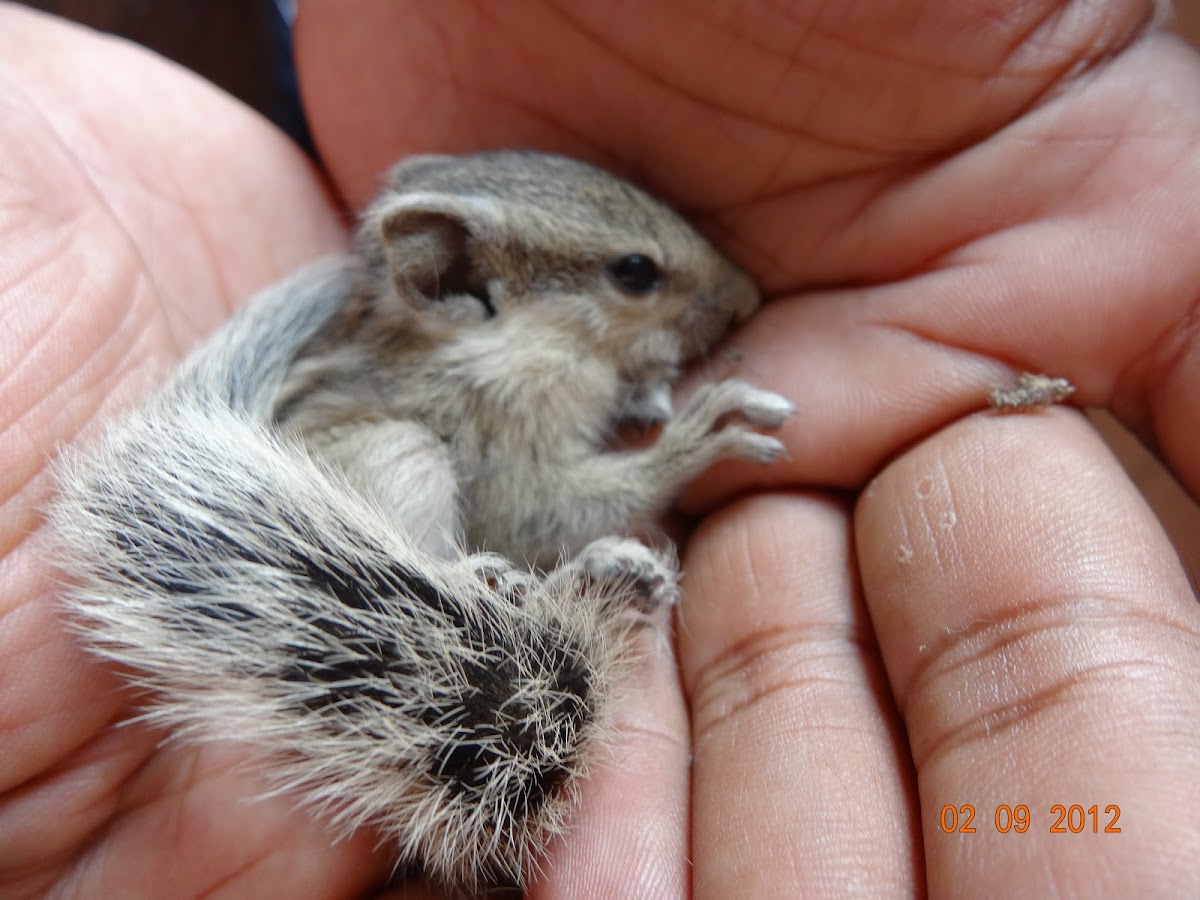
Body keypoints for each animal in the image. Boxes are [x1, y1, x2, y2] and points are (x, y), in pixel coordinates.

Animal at [49, 151, 796, 892]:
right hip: (407, 454)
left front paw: (649, 394)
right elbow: (555, 506)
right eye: (635, 272)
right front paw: (700, 434)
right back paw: (528, 576)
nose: (747, 297)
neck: (505, 347)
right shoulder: (505, 455)